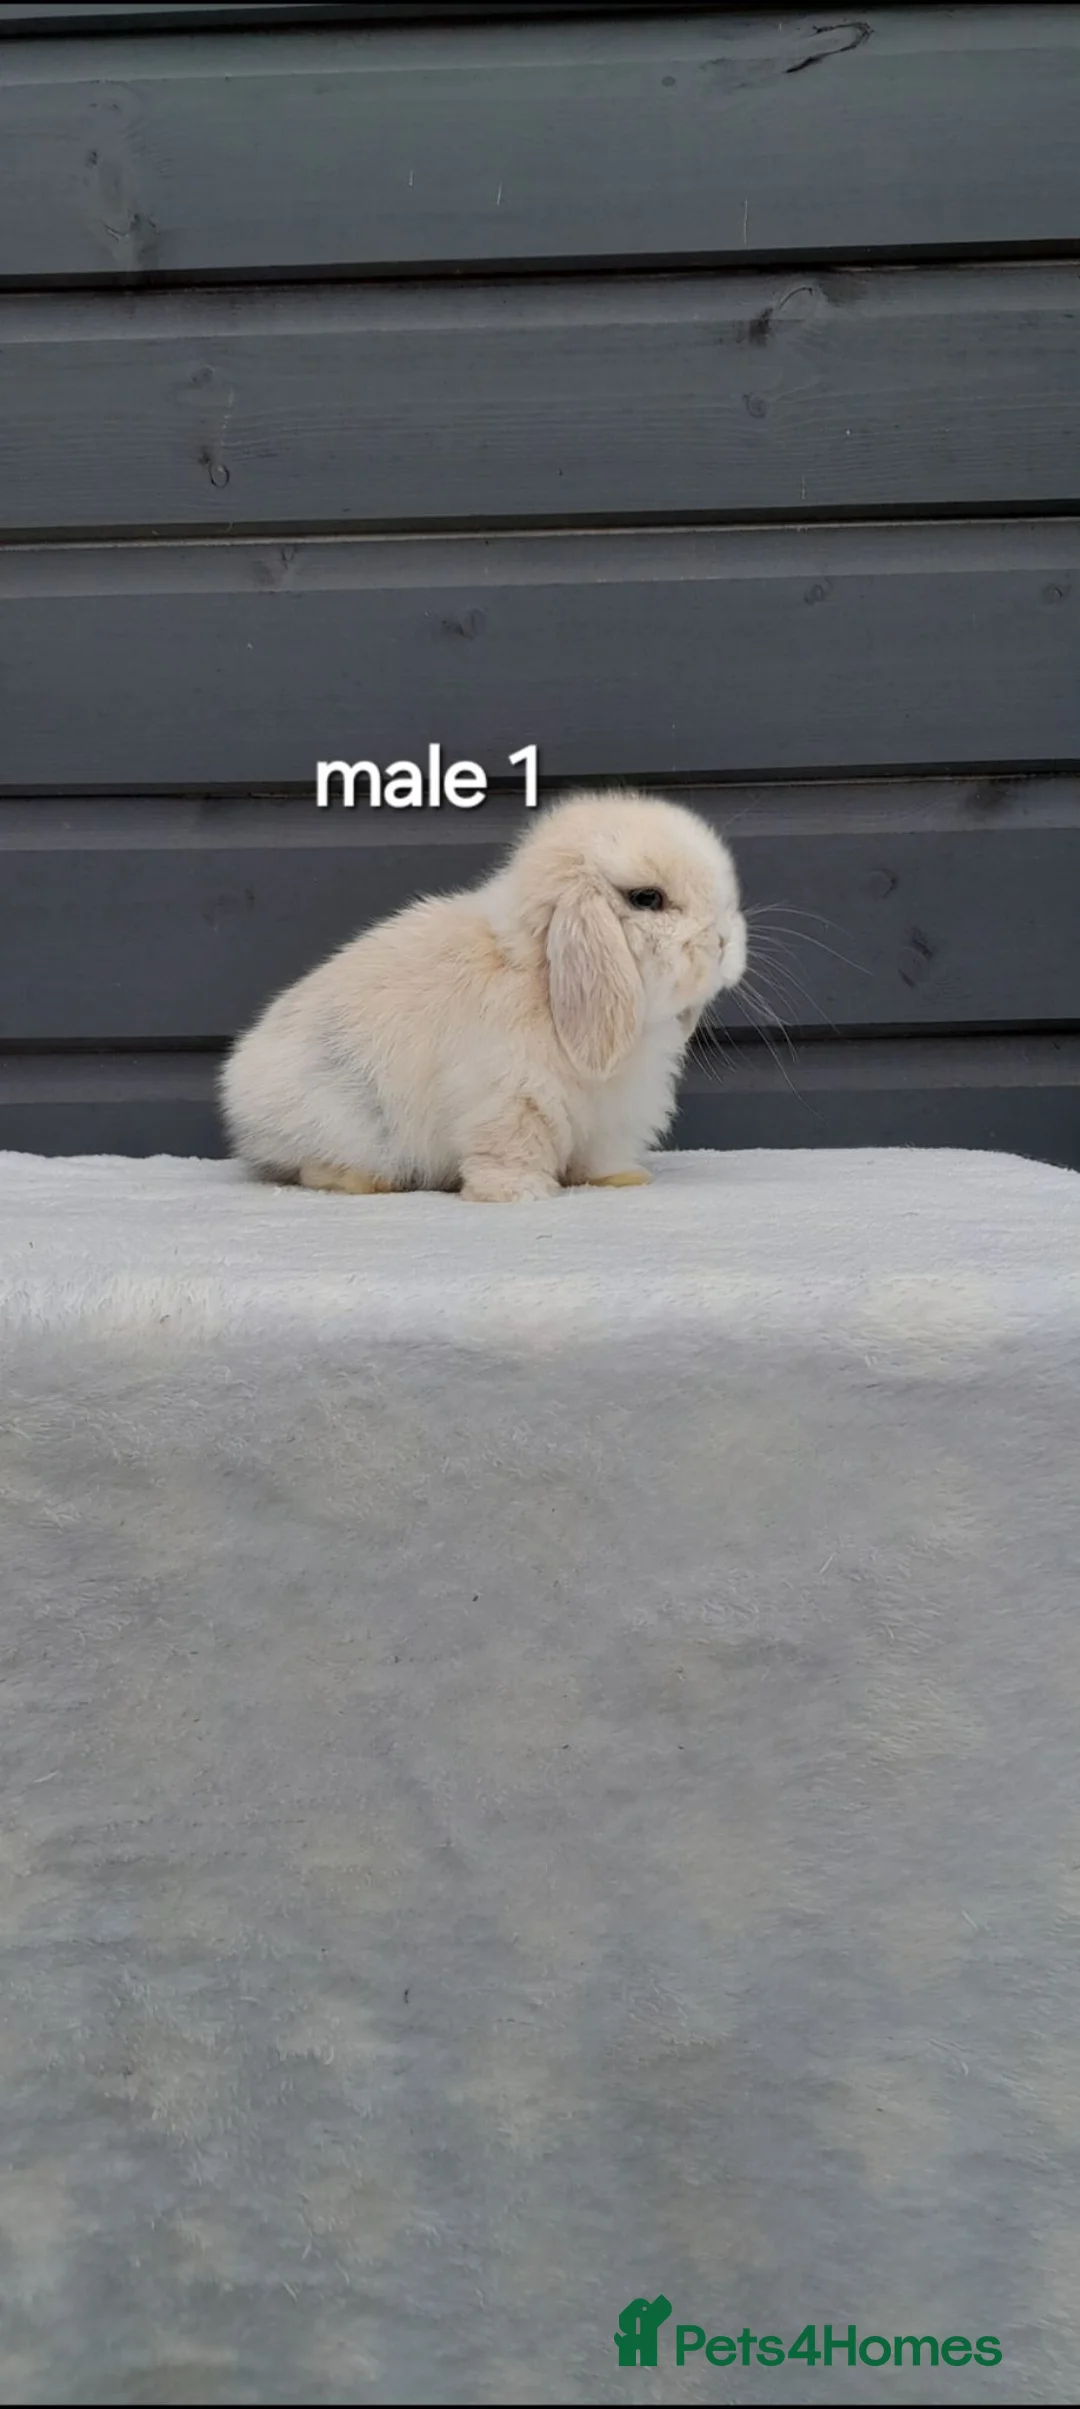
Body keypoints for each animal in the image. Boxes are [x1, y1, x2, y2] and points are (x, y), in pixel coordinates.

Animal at [219, 788, 747, 1203]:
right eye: (647, 898)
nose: (725, 941)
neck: (542, 980)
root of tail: (237, 1091)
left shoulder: (611, 1119)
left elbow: (600, 1157)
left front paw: (623, 1179)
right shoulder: (510, 1097)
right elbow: (509, 1148)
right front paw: (519, 1194)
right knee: (307, 1167)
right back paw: (364, 1181)